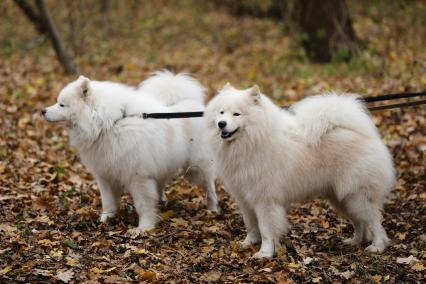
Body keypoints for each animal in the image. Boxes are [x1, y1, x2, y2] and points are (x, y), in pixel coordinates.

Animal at [42, 71, 220, 231]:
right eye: (57, 102)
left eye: (62, 104)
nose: (43, 111)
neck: (109, 124)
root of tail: (190, 103)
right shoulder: (105, 174)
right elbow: (108, 202)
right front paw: (105, 219)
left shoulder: (138, 177)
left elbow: (143, 205)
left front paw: (144, 227)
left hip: (196, 168)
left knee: (209, 186)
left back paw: (213, 209)